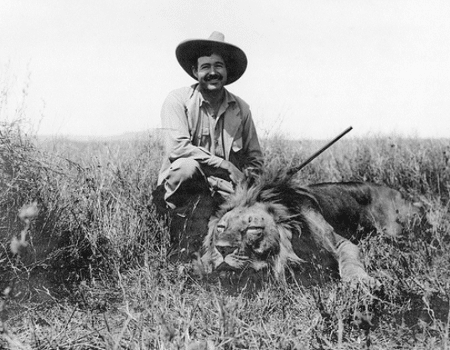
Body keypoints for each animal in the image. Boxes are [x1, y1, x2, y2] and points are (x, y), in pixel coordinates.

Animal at [200, 172, 422, 284]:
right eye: (221, 227)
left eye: (253, 228)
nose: (222, 249)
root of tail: (403, 195)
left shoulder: (342, 242)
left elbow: (349, 261)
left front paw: (360, 282)